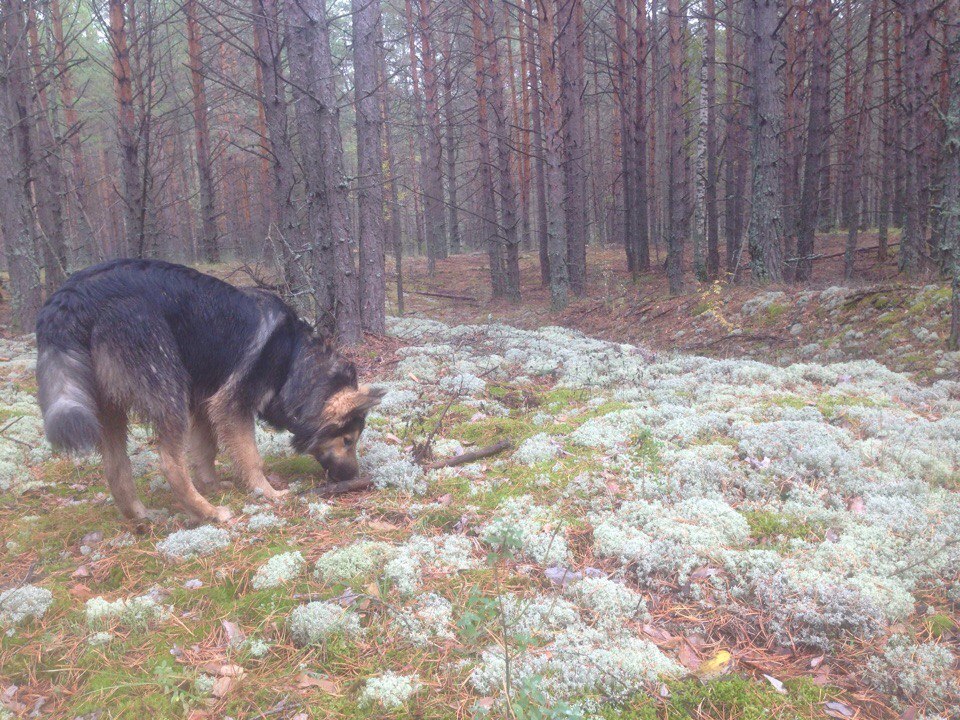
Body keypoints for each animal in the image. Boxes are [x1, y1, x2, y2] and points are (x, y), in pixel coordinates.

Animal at [37, 258, 382, 524]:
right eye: (348, 440)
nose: (354, 478)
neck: (293, 359)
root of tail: (74, 295)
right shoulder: (231, 406)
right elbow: (250, 457)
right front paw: (266, 492)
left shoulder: (204, 404)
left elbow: (206, 451)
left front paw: (214, 484)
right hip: (169, 392)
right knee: (171, 465)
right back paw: (209, 513)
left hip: (109, 410)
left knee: (115, 468)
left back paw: (140, 516)